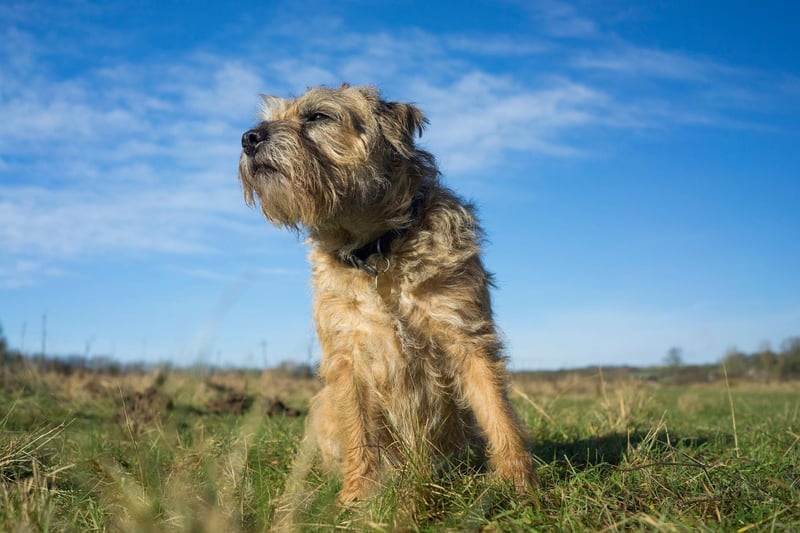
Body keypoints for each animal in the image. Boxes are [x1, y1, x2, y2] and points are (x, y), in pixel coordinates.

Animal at [238, 84, 536, 508]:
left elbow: (497, 411)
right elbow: (360, 432)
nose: (249, 138)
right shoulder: (348, 357)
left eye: (318, 117)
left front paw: (518, 483)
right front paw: (357, 496)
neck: (377, 249)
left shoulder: (466, 334)